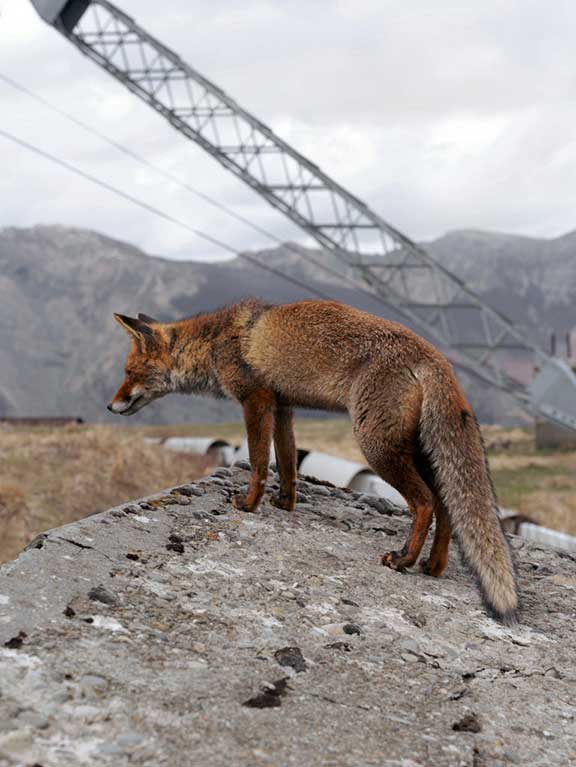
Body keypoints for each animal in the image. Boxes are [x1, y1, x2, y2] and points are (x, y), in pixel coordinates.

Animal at [108, 298, 516, 624]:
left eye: (129, 373)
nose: (110, 406)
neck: (215, 340)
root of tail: (436, 356)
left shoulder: (255, 401)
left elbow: (259, 462)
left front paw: (249, 504)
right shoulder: (283, 406)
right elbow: (288, 462)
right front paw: (285, 502)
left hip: (377, 446)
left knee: (426, 502)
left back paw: (404, 560)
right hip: (414, 449)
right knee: (446, 503)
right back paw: (435, 565)